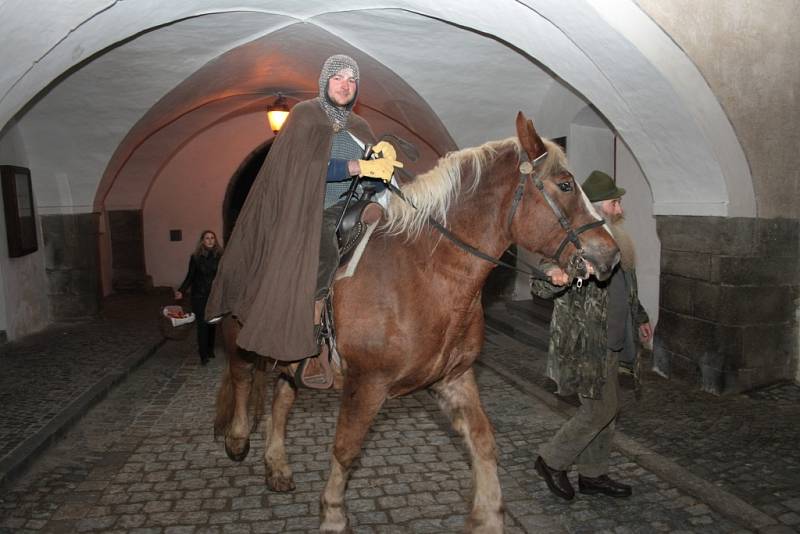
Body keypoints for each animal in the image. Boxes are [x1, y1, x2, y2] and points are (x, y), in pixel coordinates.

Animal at [212, 111, 620, 532]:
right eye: (565, 184)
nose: (610, 255)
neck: (427, 270)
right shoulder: (367, 384)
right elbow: (346, 449)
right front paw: (333, 516)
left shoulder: (453, 379)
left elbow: (483, 440)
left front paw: (488, 515)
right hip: (240, 334)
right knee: (242, 377)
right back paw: (237, 438)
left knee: (282, 398)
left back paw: (277, 466)